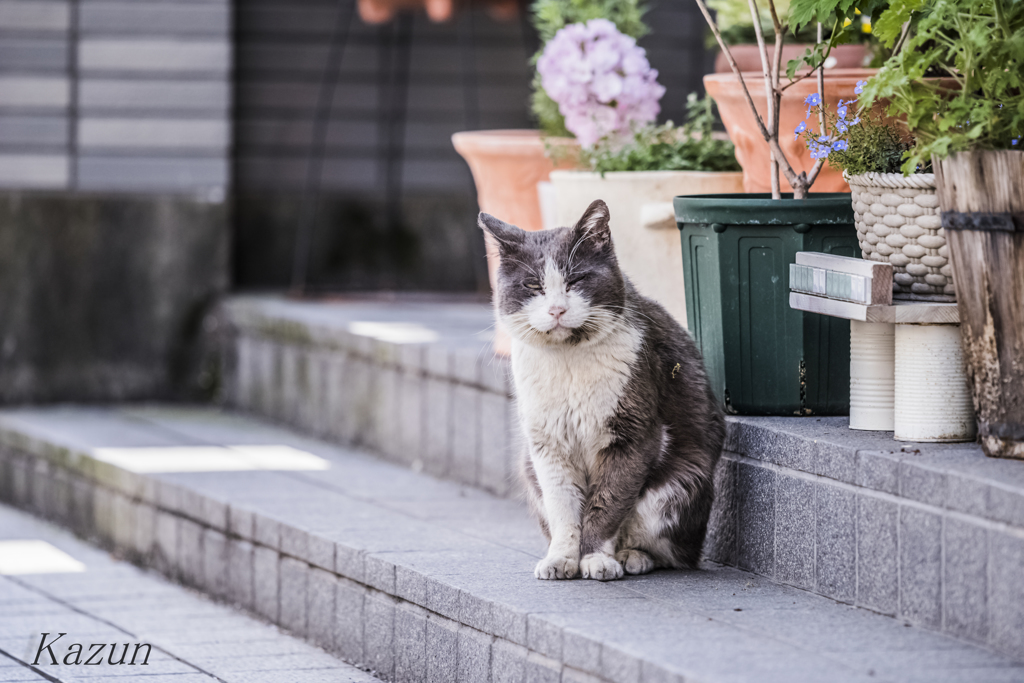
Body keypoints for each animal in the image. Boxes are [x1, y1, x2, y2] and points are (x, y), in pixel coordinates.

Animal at [481, 197, 729, 581]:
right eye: (533, 285)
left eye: (576, 279)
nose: (557, 310)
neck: (568, 360)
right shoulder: (547, 444)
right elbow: (563, 506)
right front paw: (562, 558)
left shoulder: (632, 433)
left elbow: (608, 501)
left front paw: (596, 558)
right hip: (528, 466)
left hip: (680, 483)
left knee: (671, 552)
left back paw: (632, 557)